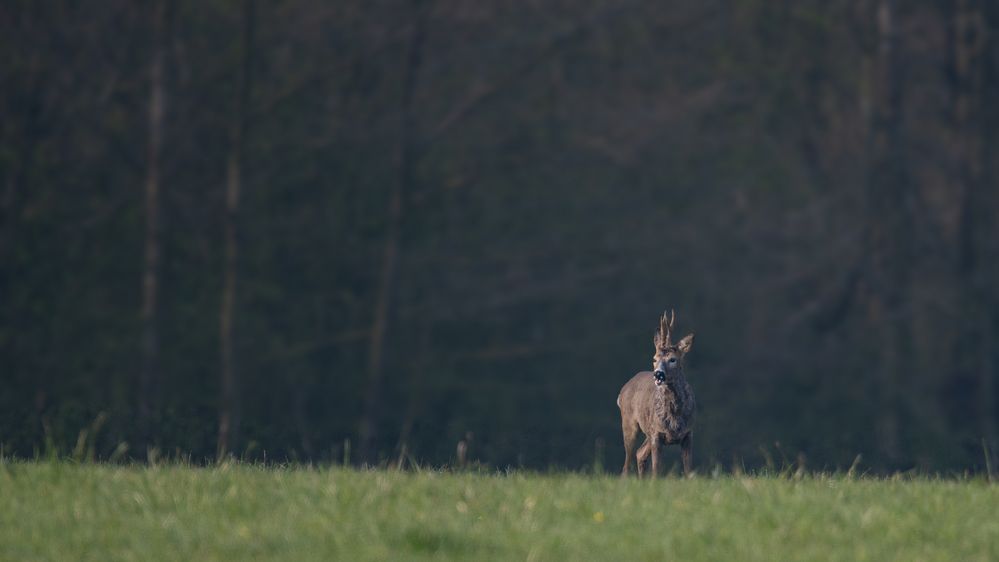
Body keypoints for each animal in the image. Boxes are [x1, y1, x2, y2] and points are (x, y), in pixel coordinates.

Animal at [616, 308, 696, 474]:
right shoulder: (656, 434)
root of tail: (622, 391)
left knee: (639, 453)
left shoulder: (689, 433)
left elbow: (689, 472)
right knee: (627, 464)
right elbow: (656, 471)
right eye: (654, 359)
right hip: (629, 423)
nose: (658, 374)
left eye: (673, 359)